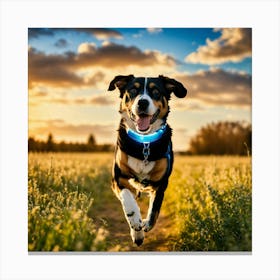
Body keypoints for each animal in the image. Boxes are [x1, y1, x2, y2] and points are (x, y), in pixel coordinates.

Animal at [108, 74, 187, 245]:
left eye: (156, 91)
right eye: (133, 90)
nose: (142, 102)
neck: (144, 142)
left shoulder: (161, 184)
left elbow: (154, 210)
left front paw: (145, 223)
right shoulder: (117, 178)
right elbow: (128, 199)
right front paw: (135, 223)